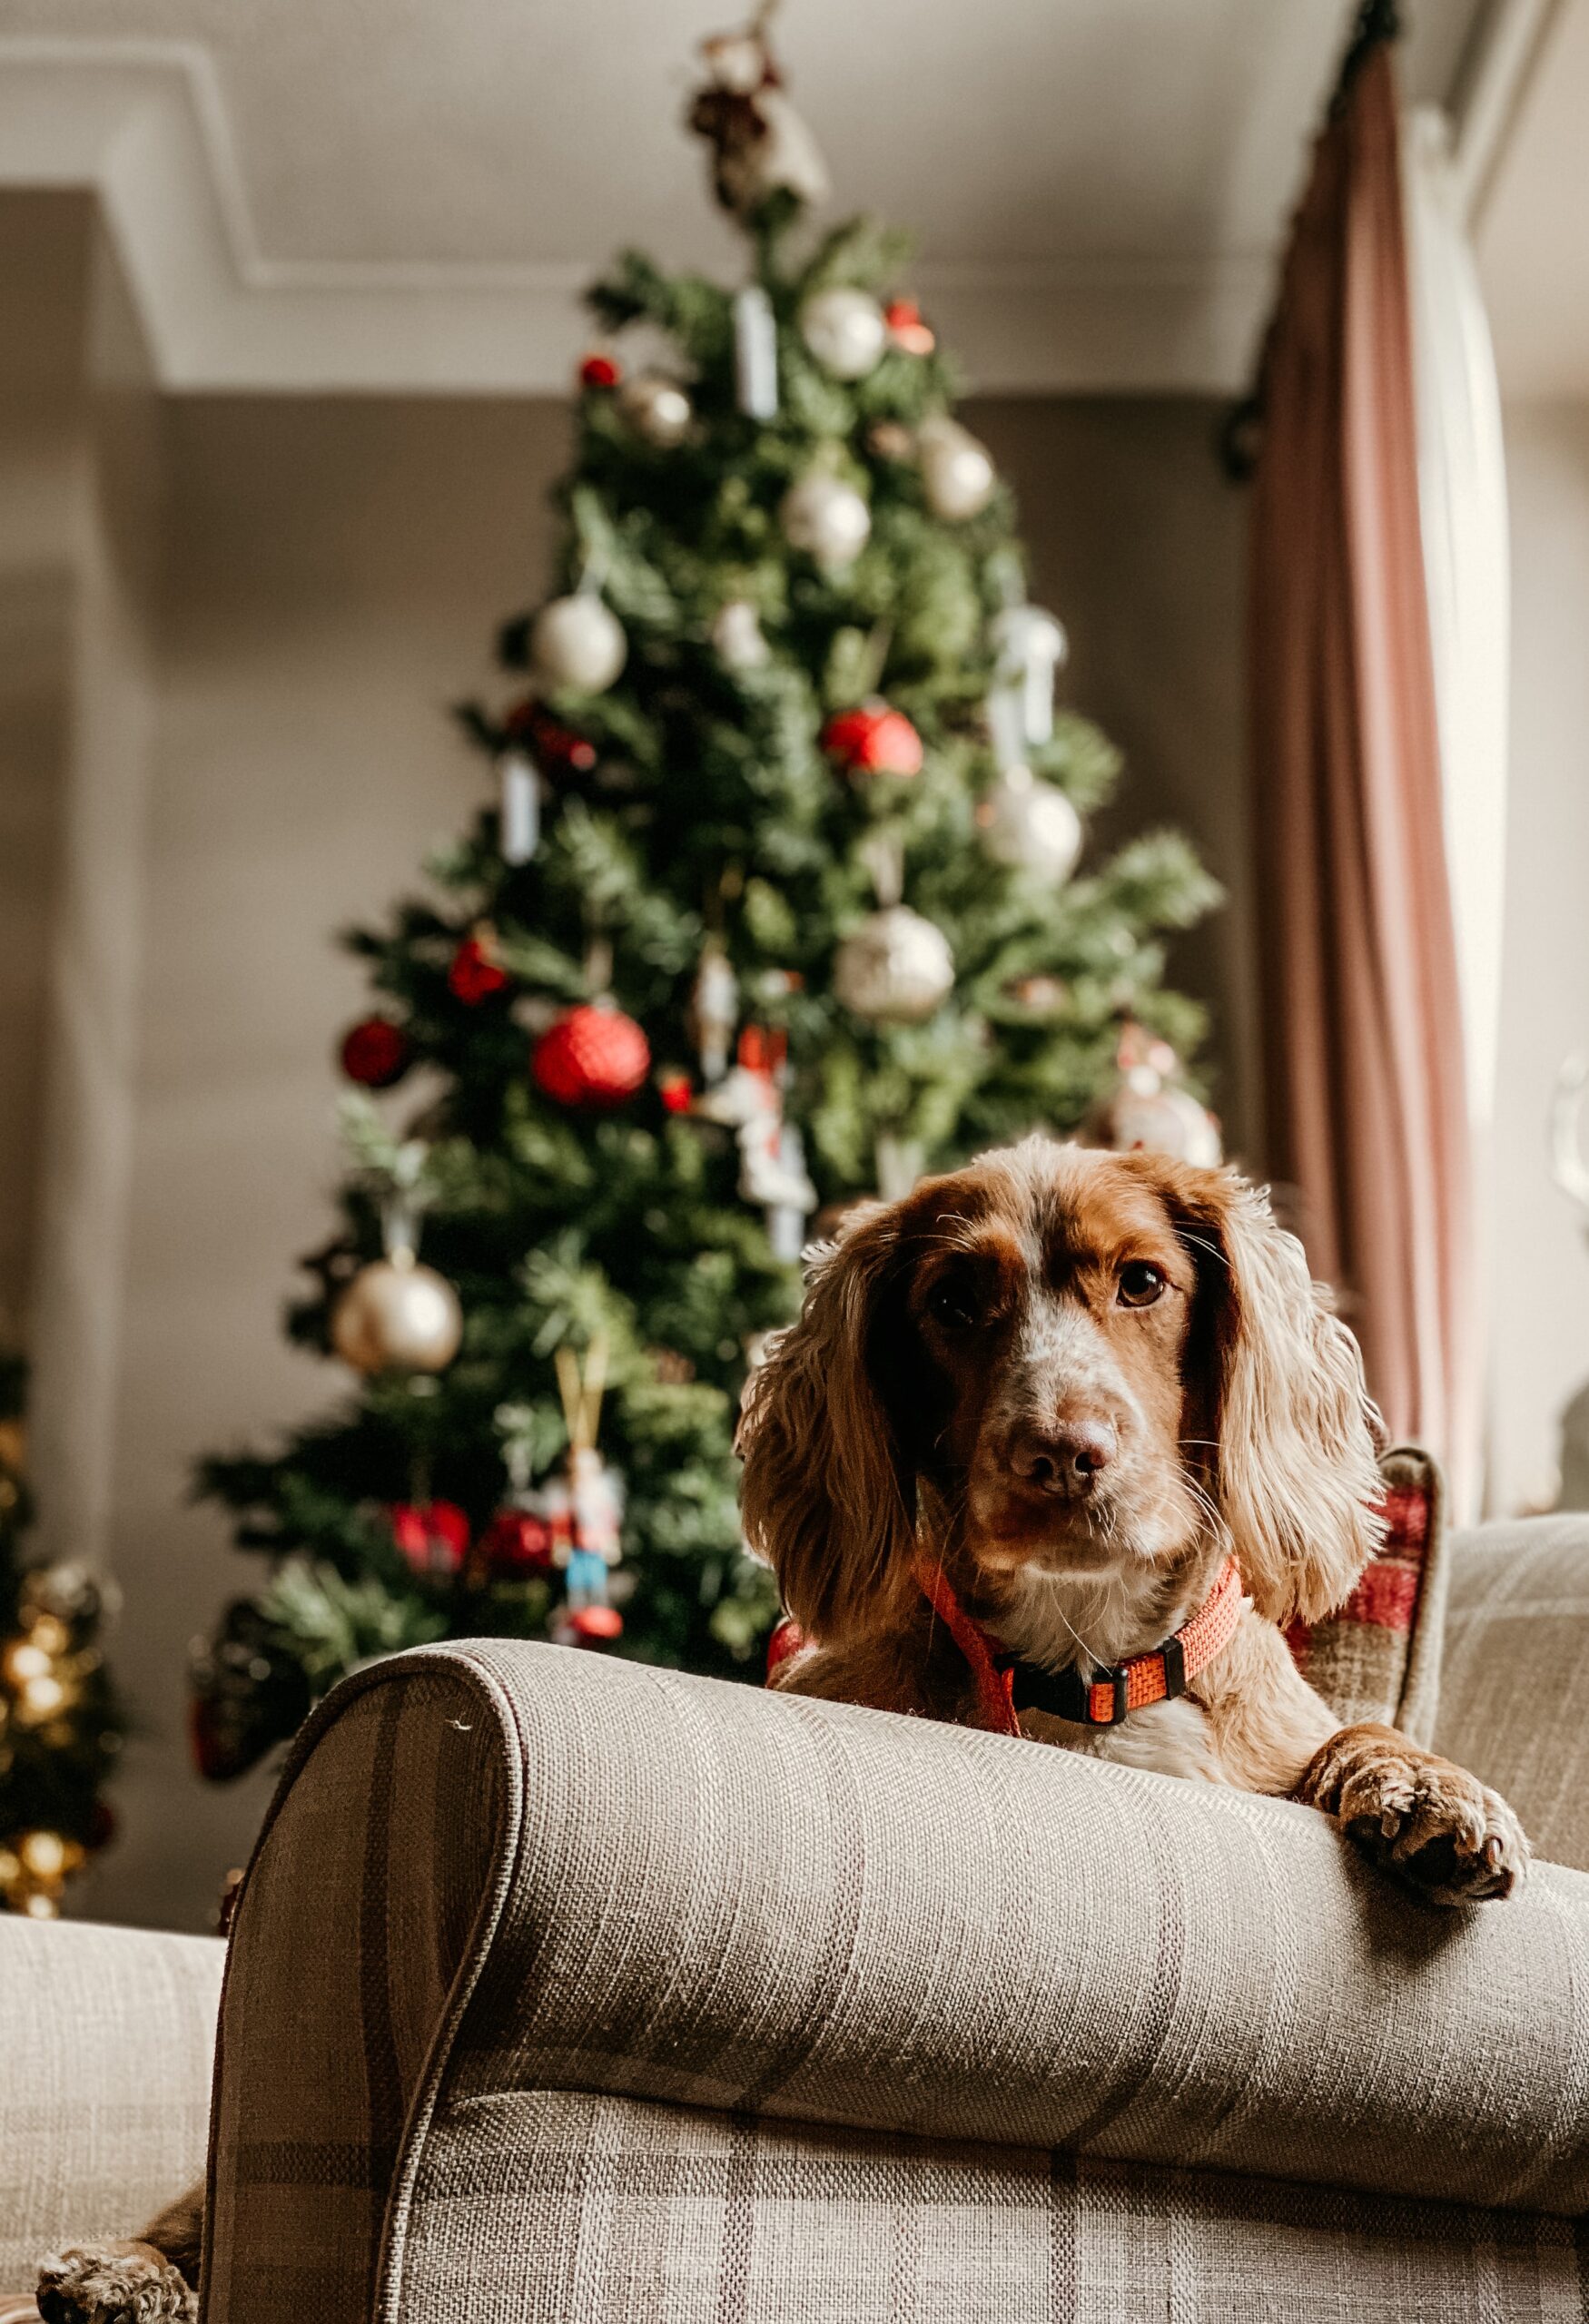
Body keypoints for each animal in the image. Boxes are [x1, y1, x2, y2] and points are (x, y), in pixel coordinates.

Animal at [743, 1134, 1524, 1896]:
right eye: (952, 1302)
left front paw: (1426, 1783)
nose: (1061, 1454)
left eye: (1143, 1283)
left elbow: (1355, 1731)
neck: (1088, 1667)